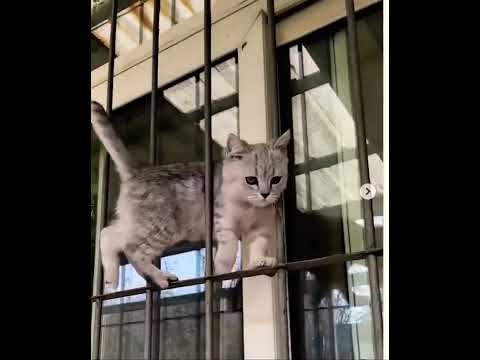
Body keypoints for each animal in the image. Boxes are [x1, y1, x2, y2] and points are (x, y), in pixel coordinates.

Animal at [92, 100, 290, 292]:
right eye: (251, 180)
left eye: (276, 180)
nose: (265, 194)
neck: (249, 207)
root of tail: (138, 170)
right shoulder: (222, 220)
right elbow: (230, 244)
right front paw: (222, 268)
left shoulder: (260, 228)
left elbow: (258, 244)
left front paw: (259, 261)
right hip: (161, 227)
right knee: (132, 249)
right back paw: (159, 277)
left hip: (137, 223)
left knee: (107, 234)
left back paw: (111, 280)